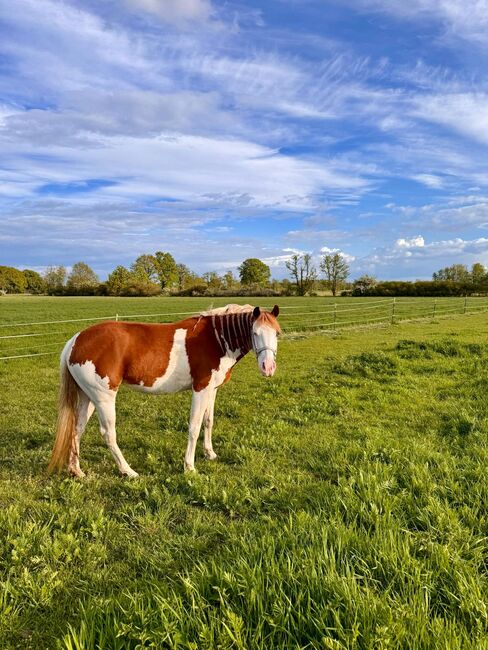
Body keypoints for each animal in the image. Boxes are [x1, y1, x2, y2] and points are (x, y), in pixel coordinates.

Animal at [48, 304, 282, 476]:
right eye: (255, 332)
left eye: (277, 333)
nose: (268, 367)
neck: (216, 339)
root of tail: (76, 340)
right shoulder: (200, 389)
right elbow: (194, 427)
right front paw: (189, 466)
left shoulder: (211, 390)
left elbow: (208, 422)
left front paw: (210, 454)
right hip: (104, 398)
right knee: (108, 433)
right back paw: (128, 471)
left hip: (88, 397)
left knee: (77, 429)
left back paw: (76, 470)